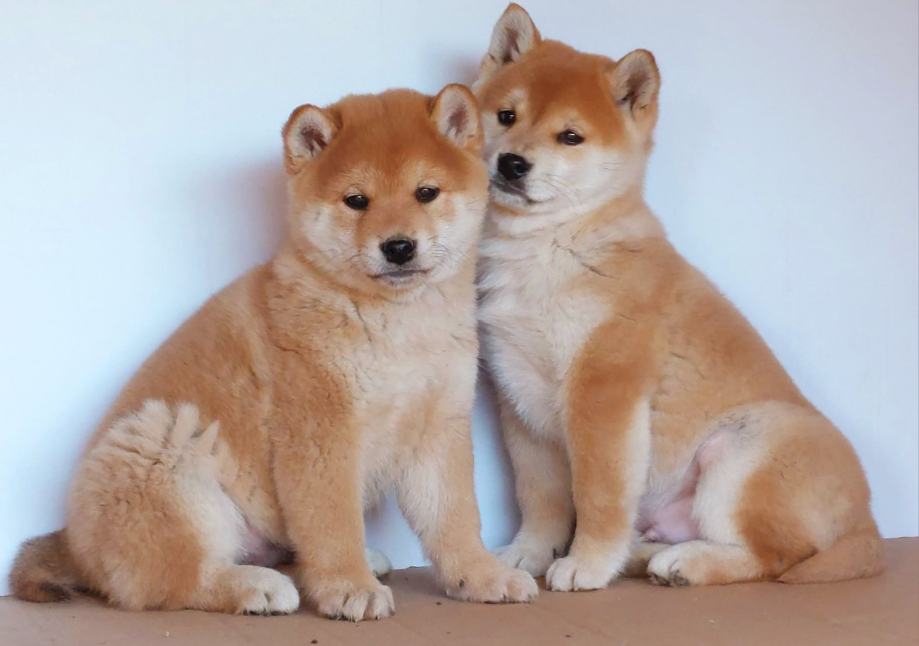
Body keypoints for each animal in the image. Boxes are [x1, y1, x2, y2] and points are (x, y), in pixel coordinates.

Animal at [9, 85, 537, 620]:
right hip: (168, 445)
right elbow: (332, 522)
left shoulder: (437, 428)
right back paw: (255, 587)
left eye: (426, 193)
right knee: (171, 582)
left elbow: (454, 520)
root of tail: (73, 543)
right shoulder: (321, 436)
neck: (399, 326)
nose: (398, 246)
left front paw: (480, 575)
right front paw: (349, 586)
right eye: (356, 201)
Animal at [474, 4, 883, 590]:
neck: (549, 250)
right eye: (507, 116)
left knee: (775, 557)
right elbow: (541, 497)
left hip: (743, 451)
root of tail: (867, 523)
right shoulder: (519, 399)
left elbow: (597, 496)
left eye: (570, 137)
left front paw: (587, 563)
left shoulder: (603, 391)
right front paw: (529, 552)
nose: (511, 163)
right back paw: (645, 555)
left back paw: (686, 563)